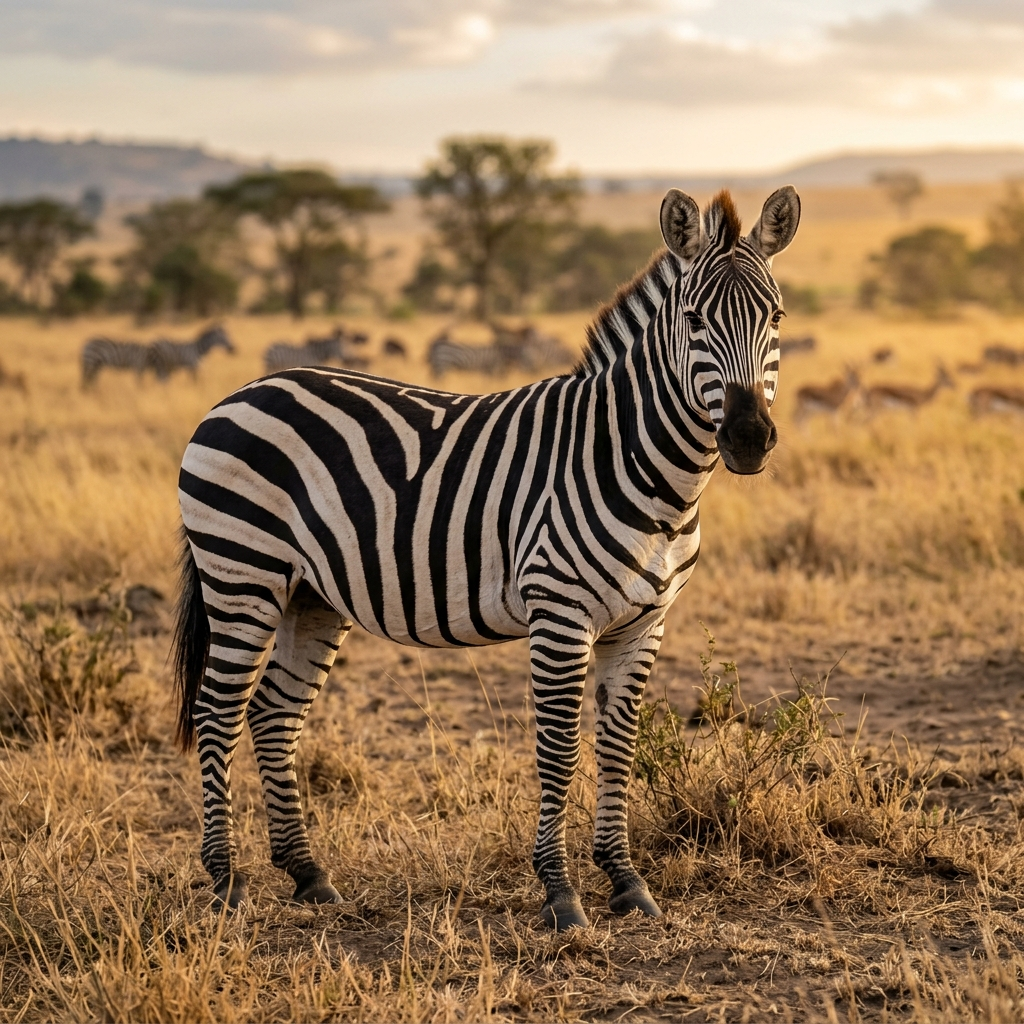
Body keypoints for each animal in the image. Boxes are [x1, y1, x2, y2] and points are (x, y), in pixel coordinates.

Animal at [171, 186, 800, 929]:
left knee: (274, 710)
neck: (643, 467)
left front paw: (625, 880)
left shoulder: (645, 621)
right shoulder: (560, 611)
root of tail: (240, 392)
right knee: (218, 710)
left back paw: (308, 874)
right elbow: (559, 748)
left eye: (776, 317)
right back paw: (225, 881)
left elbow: (619, 744)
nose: (748, 438)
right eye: (696, 320)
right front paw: (560, 892)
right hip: (242, 572)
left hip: (310, 595)